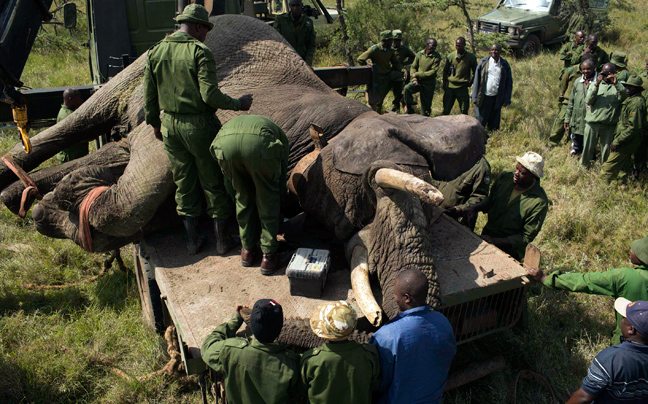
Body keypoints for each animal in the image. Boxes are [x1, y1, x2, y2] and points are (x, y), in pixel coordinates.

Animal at [0, 15, 486, 344]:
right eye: (371, 194)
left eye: (435, 218)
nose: (383, 319)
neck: (335, 123)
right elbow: (148, 171)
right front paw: (54, 209)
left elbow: (138, 176)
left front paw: (59, 200)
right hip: (137, 68)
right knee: (87, 117)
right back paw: (21, 181)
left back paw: (18, 193)